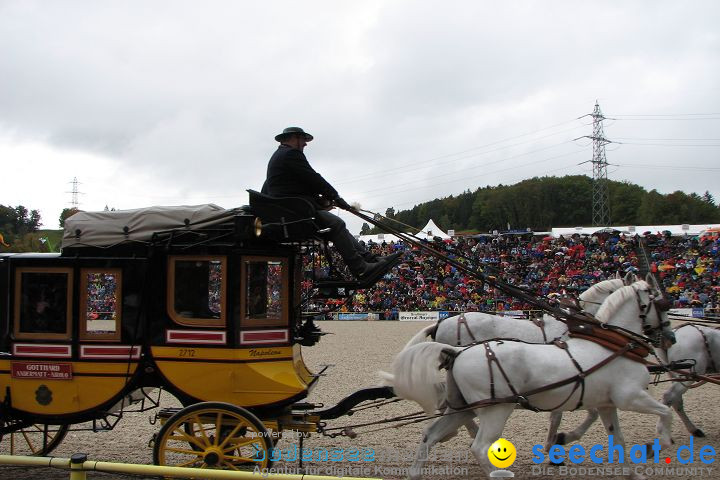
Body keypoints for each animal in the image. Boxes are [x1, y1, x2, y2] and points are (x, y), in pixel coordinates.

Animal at [388, 282, 676, 480]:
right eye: (662, 305)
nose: (670, 338)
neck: (608, 343)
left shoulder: (600, 398)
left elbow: (613, 434)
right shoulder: (625, 395)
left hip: (465, 403)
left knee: (435, 430)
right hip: (497, 407)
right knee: (477, 444)